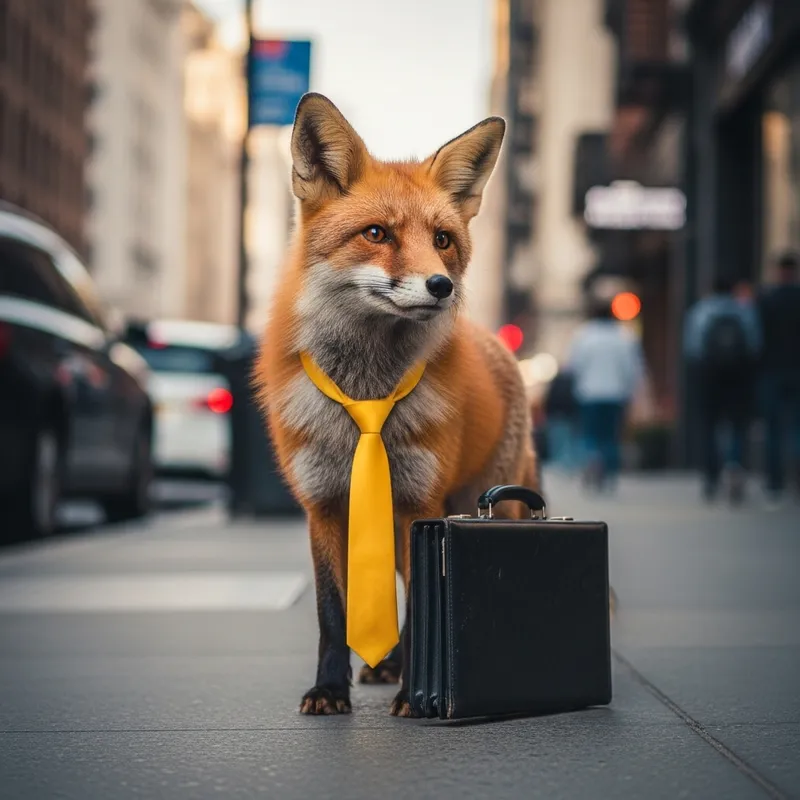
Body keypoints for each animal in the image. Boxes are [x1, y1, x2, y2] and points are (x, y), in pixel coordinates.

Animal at [254, 93, 538, 717]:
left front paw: (415, 693)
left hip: (488, 498)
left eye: (443, 240)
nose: (441, 287)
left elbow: (420, 608)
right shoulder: (324, 505)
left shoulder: (419, 505)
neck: (366, 396)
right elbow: (332, 612)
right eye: (376, 233)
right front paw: (330, 690)